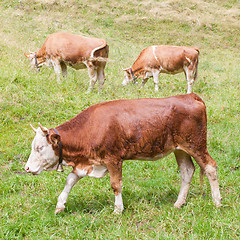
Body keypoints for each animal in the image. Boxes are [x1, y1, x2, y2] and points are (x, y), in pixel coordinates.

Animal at [24, 93, 221, 214]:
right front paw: (60, 205)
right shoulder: (88, 161)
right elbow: (70, 180)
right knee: (187, 171)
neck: (92, 127)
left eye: (39, 147)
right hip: (180, 149)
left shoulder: (113, 159)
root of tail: (189, 96)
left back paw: (217, 201)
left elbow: (116, 185)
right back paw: (179, 203)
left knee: (210, 167)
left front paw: (118, 209)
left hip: (196, 145)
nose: (26, 168)